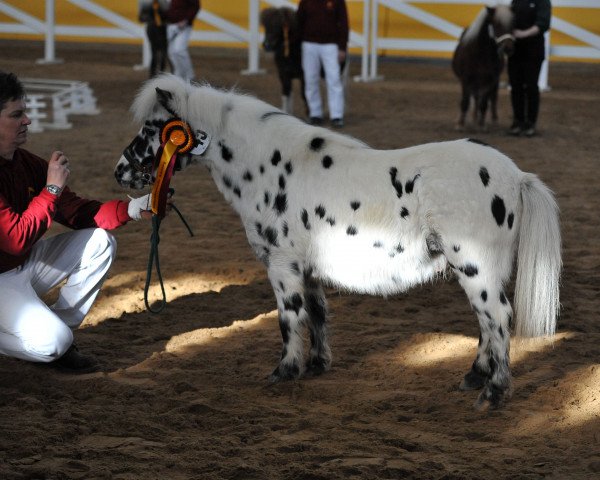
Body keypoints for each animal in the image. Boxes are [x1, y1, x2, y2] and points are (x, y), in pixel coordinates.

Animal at [115, 75, 560, 408]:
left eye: (153, 129)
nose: (121, 172)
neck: (269, 166)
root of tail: (516, 176)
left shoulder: (282, 266)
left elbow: (288, 318)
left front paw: (284, 371)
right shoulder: (307, 267)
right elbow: (317, 313)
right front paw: (315, 365)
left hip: (475, 266)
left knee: (497, 317)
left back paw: (494, 392)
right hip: (479, 271)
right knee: (487, 322)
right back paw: (474, 377)